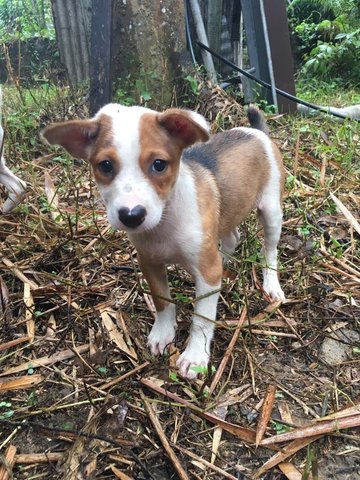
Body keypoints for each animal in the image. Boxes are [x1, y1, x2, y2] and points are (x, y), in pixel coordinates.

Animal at [42, 104, 286, 378]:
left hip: (271, 211)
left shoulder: (207, 273)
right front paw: (163, 333)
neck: (164, 223)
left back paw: (271, 284)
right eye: (105, 166)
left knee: (270, 251)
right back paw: (226, 261)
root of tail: (256, 132)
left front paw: (195, 356)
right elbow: (162, 301)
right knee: (232, 237)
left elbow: (202, 319)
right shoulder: (149, 262)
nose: (132, 215)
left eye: (159, 164)